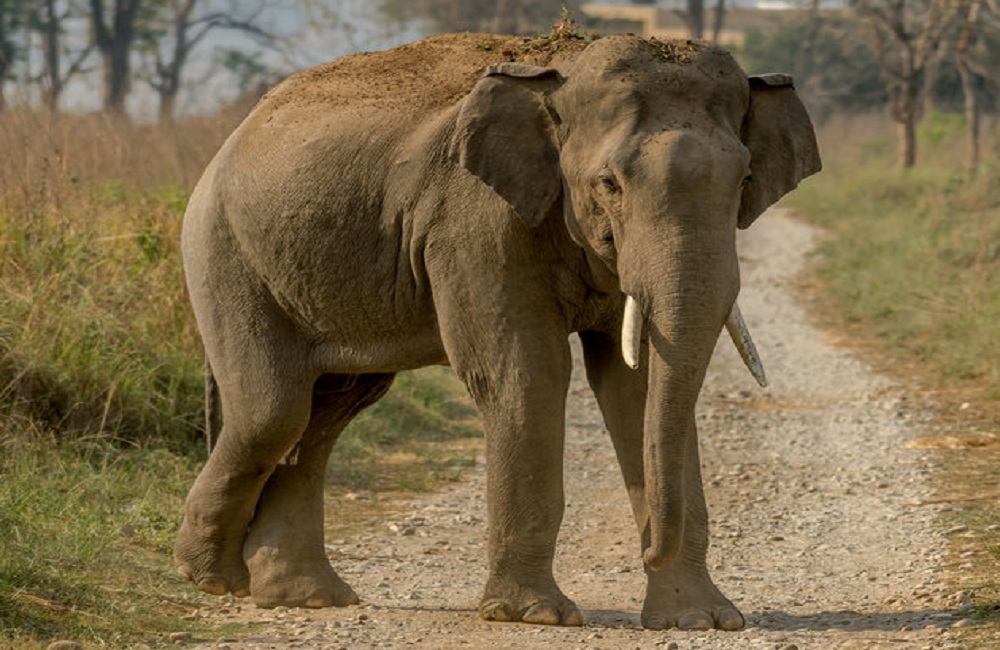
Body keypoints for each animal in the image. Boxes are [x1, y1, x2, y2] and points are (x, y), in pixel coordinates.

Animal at [176, 30, 820, 628]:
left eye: (743, 182)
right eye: (609, 183)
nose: (650, 550)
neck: (558, 71)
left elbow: (635, 387)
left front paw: (700, 620)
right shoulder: (472, 220)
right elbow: (526, 372)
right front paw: (533, 615)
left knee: (328, 410)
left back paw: (303, 596)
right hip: (224, 252)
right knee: (275, 409)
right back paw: (212, 575)